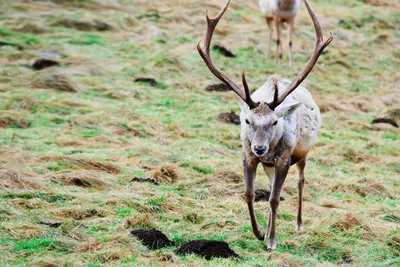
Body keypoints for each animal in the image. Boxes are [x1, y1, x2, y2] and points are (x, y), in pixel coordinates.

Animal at [196, 0, 332, 251]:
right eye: (247, 120)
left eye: (275, 121)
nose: (260, 148)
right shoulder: (248, 155)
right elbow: (250, 194)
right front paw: (258, 232)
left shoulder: (284, 158)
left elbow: (275, 199)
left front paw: (271, 241)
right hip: (269, 164)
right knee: (271, 188)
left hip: (302, 154)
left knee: (299, 181)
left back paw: (298, 223)